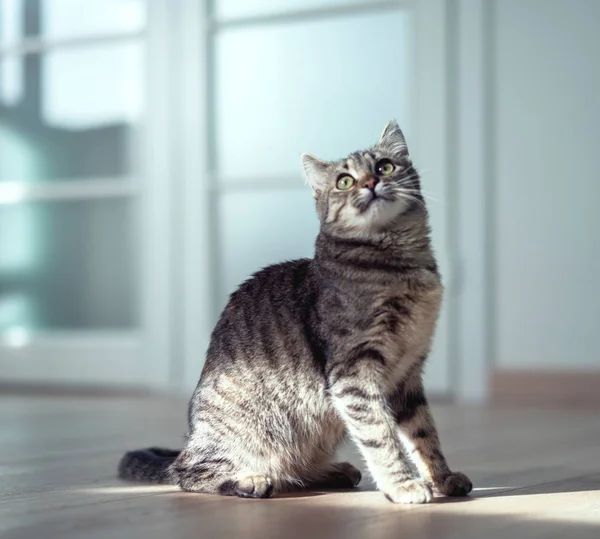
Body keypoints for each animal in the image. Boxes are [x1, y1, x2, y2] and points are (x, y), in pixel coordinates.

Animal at [118, 120, 474, 504]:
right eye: (344, 181)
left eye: (384, 167)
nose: (370, 183)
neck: (400, 266)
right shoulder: (354, 372)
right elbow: (381, 435)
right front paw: (403, 484)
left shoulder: (407, 374)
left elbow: (424, 435)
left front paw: (442, 478)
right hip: (244, 433)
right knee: (187, 472)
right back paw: (249, 479)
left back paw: (334, 471)